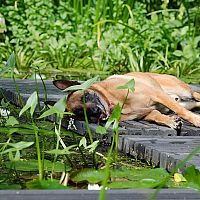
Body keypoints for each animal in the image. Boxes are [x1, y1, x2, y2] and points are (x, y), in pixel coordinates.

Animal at [53, 72, 200, 130]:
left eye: (86, 96)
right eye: (79, 112)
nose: (95, 112)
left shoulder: (157, 95)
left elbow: (180, 111)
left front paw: (196, 121)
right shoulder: (148, 112)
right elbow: (157, 116)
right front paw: (170, 121)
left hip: (183, 91)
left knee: (194, 97)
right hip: (188, 102)